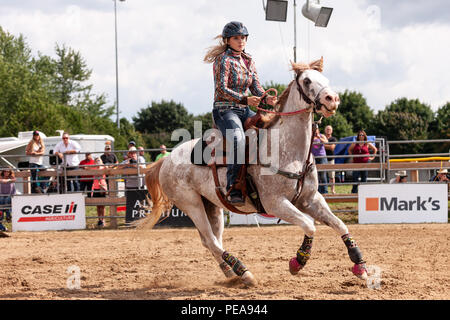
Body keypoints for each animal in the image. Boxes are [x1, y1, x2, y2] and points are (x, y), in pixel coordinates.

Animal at [142, 58, 368, 288]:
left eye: (325, 78)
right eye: (306, 80)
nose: (333, 99)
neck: (286, 149)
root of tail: (167, 159)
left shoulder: (311, 199)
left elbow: (339, 225)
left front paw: (360, 265)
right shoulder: (275, 203)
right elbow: (309, 225)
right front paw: (298, 262)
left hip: (212, 206)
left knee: (210, 240)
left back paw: (230, 273)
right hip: (191, 205)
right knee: (211, 241)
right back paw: (244, 273)